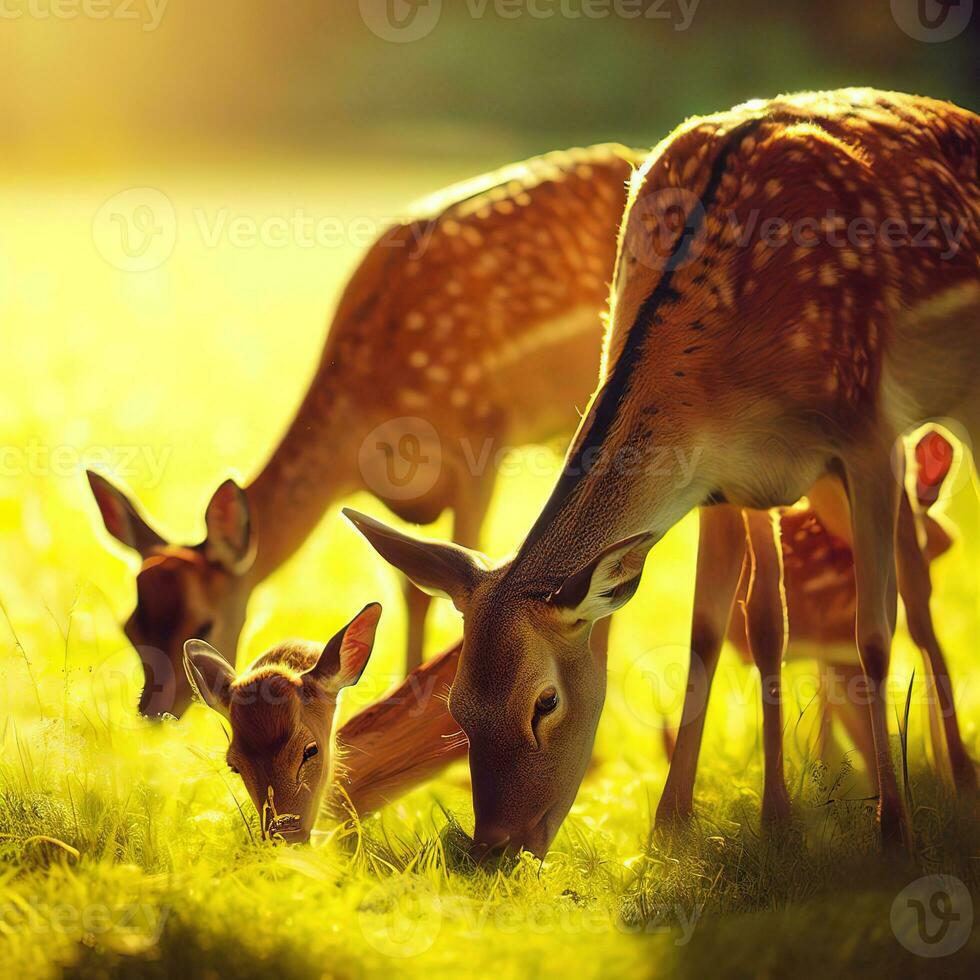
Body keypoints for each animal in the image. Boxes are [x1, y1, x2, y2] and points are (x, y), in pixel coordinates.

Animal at [346, 92, 980, 856]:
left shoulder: (866, 433)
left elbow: (874, 634)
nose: (495, 845)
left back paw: (959, 780)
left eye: (545, 702)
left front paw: (895, 832)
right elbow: (713, 630)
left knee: (917, 591)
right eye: (457, 707)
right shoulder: (725, 481)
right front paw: (674, 826)